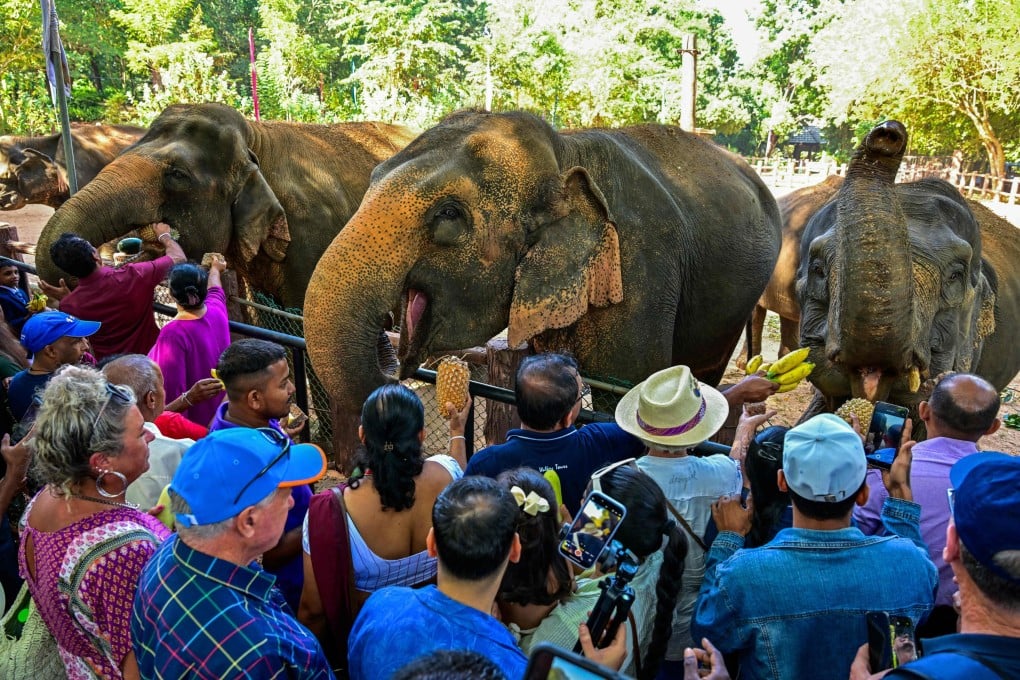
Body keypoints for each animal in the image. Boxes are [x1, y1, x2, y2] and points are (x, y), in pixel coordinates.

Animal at [304, 110, 783, 413]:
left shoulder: (641, 270)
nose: (388, 344)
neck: (566, 153)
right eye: (371, 179)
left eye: (449, 214)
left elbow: (625, 395)